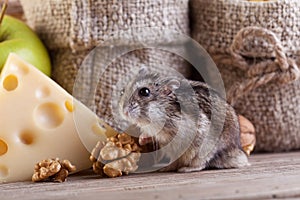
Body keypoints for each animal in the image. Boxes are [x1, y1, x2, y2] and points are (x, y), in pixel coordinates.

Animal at [118, 69, 250, 172]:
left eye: (144, 92)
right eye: (123, 90)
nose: (124, 112)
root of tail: (236, 152)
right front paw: (141, 139)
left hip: (203, 150)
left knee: (201, 164)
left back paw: (184, 169)